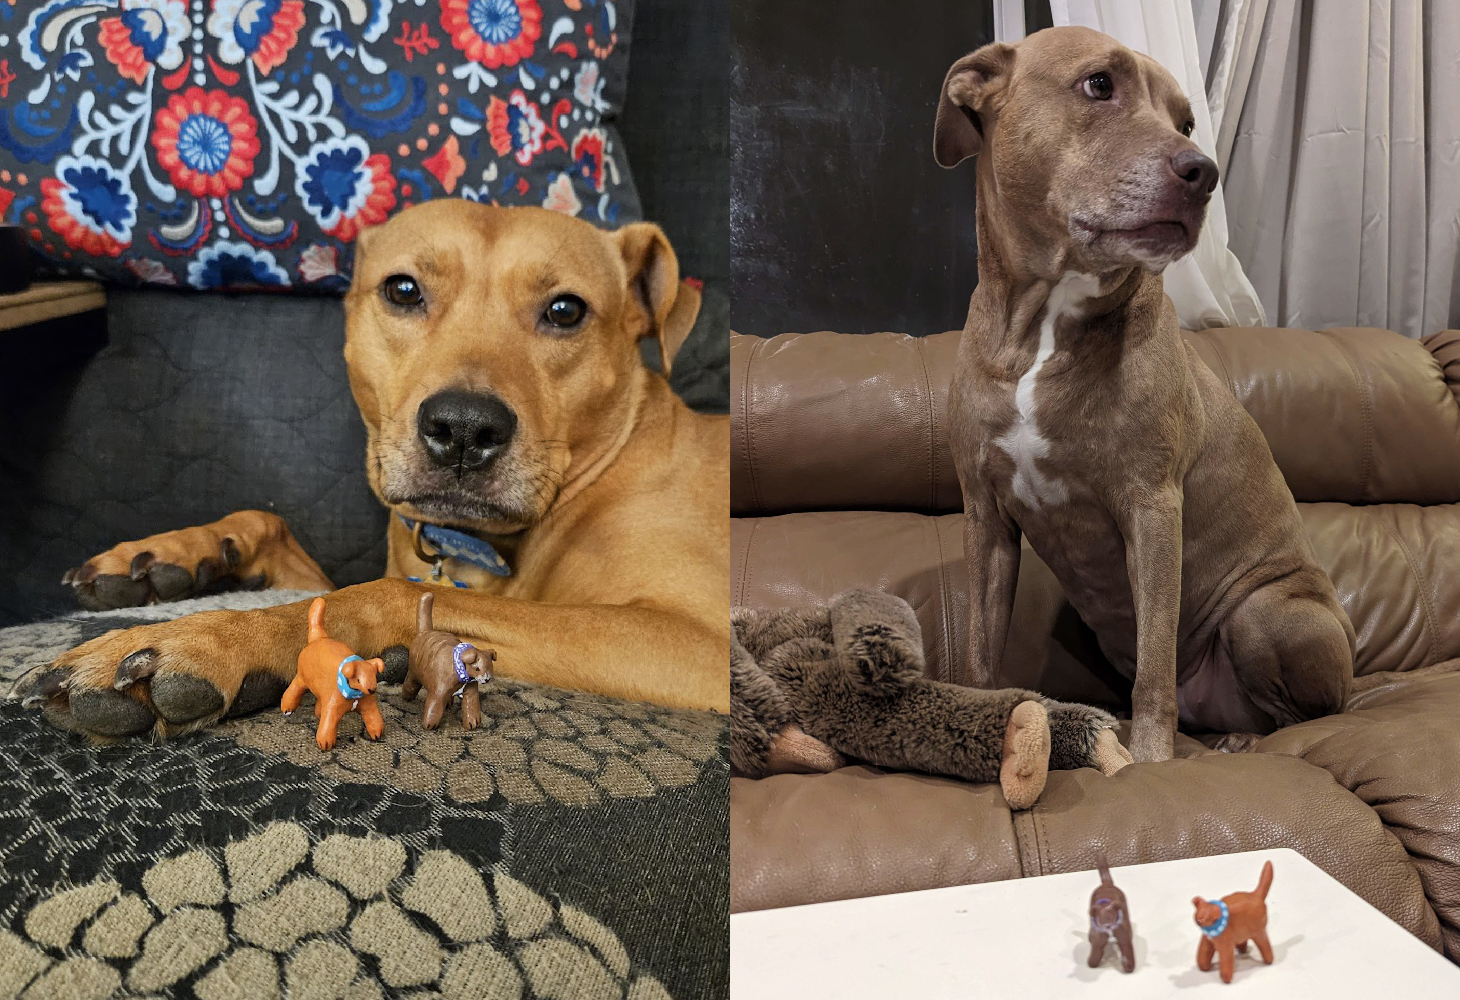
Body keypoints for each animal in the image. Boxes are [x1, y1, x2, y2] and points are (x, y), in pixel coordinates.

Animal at [19, 202, 727, 735]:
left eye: (566, 310)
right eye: (403, 290)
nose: (463, 428)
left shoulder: (694, 640)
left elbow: (377, 593)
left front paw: (211, 639)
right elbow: (273, 527)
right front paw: (176, 553)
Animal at [934, 27, 1354, 759]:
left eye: (1186, 121)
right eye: (1100, 84)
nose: (1203, 172)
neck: (1043, 326)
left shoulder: (1152, 508)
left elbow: (1154, 669)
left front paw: (1152, 762)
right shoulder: (986, 517)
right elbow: (982, 651)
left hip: (1265, 611)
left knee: (1301, 715)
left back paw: (1237, 742)